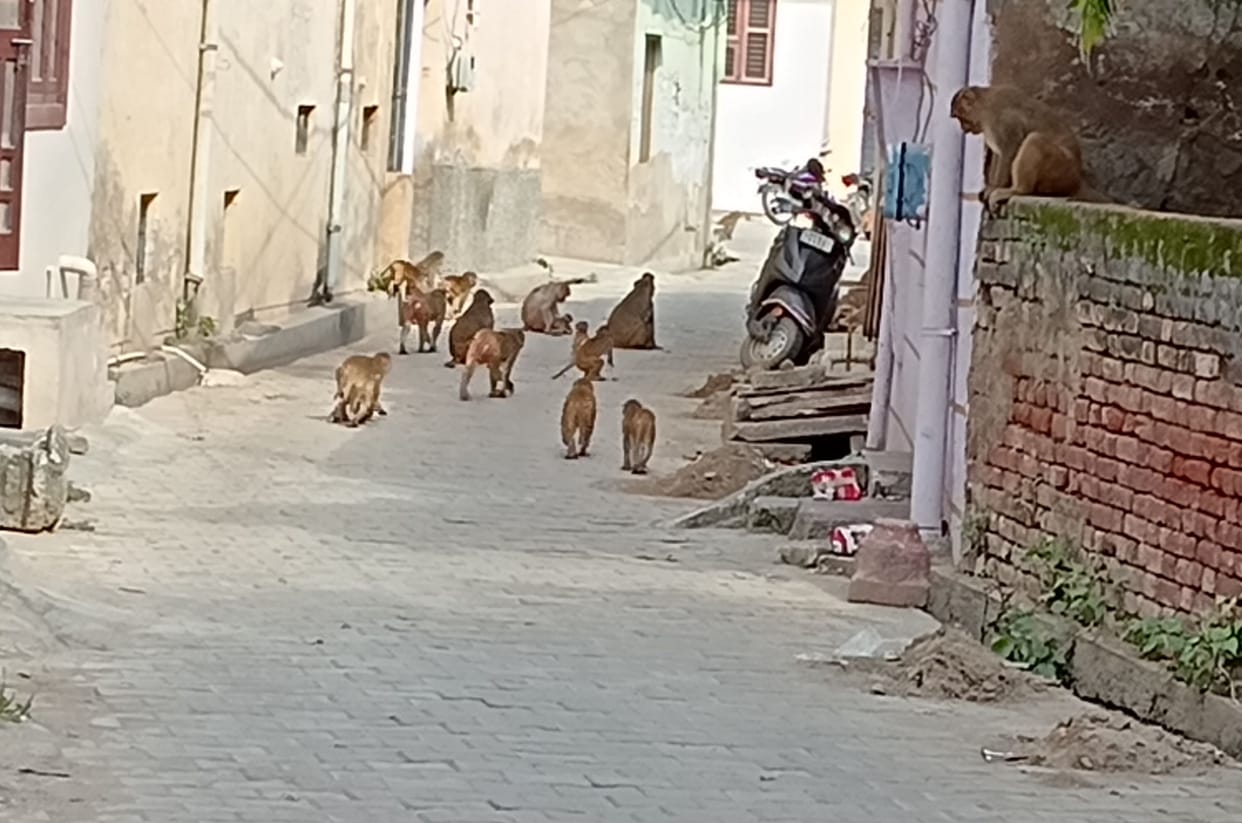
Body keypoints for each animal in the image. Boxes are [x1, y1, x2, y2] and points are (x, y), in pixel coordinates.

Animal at [949, 85, 1109, 213]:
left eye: (960, 118)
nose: (963, 128)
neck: (984, 106)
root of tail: (1077, 180)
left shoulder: (1002, 120)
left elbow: (1009, 150)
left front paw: (994, 188)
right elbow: (998, 154)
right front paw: (990, 187)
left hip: (1062, 170)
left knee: (1035, 140)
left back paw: (1018, 190)